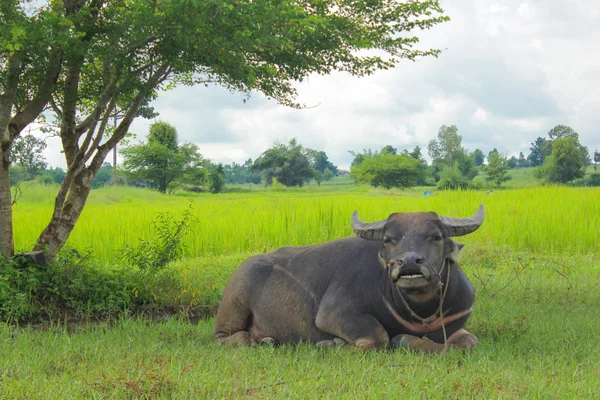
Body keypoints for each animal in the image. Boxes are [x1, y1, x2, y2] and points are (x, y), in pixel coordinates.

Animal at [213, 205, 486, 352]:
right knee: (224, 337)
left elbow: (469, 341)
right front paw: (331, 344)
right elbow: (379, 337)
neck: (418, 310)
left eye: (436, 236)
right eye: (389, 239)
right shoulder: (333, 315)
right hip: (233, 306)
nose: (409, 262)